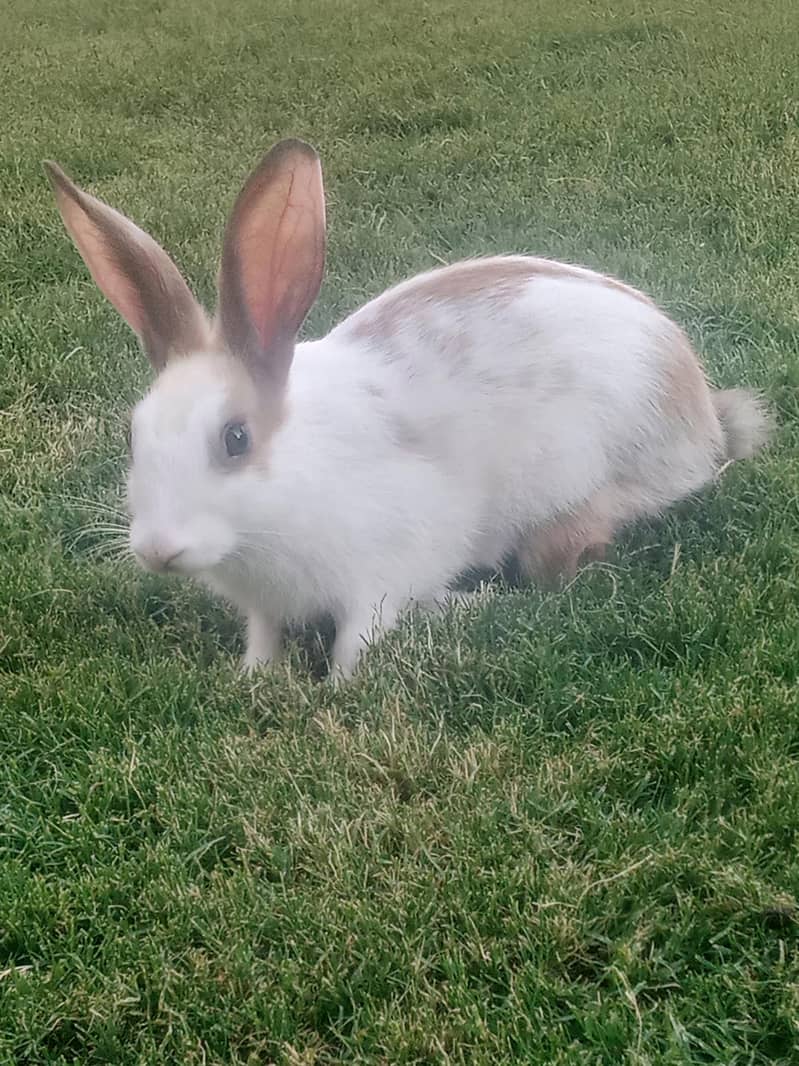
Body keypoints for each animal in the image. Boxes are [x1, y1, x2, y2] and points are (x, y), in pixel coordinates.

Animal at [45, 138, 772, 680]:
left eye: (235, 438)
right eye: (133, 437)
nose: (158, 550)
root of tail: (701, 414)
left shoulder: (378, 574)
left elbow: (356, 641)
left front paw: (334, 691)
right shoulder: (264, 606)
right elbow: (264, 637)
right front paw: (253, 679)